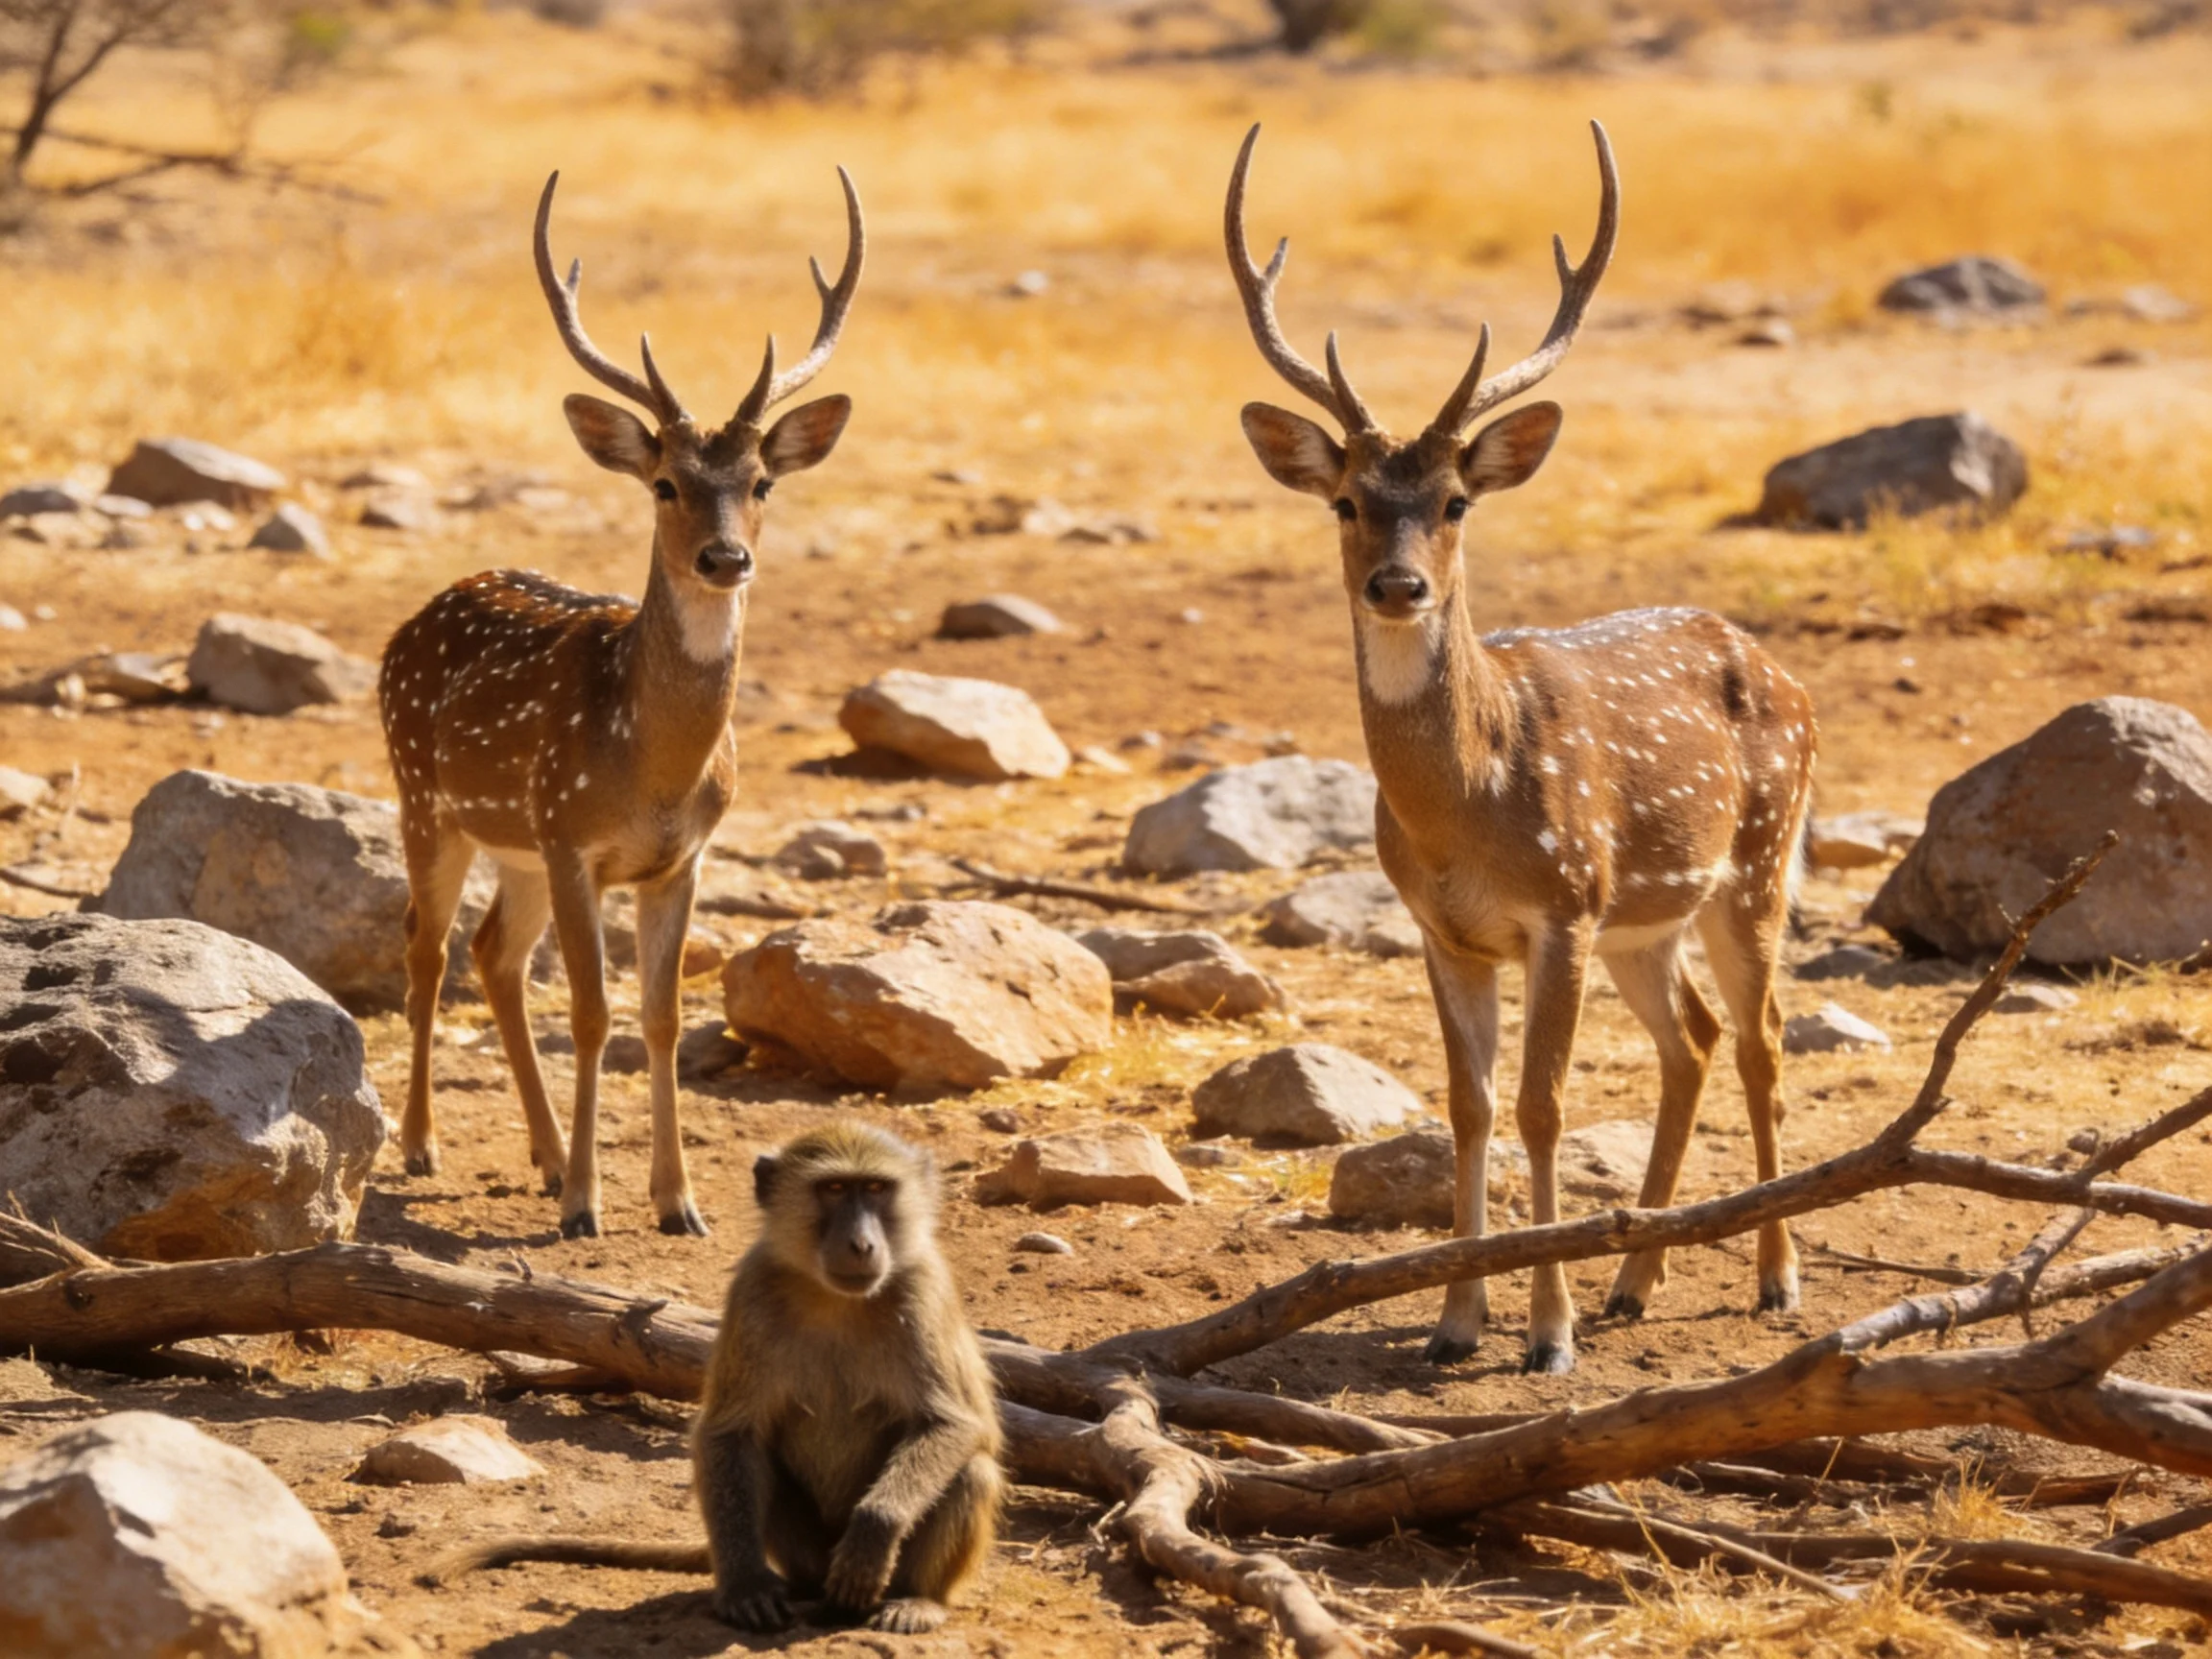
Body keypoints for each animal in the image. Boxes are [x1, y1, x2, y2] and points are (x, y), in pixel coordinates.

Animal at [377, 167, 863, 1240]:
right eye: (666, 484)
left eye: (762, 481)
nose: (726, 558)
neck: (654, 766)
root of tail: (415, 617)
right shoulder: (573, 839)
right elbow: (595, 1014)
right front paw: (587, 1210)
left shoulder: (678, 859)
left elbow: (662, 1016)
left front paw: (677, 1202)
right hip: (427, 801)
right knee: (429, 949)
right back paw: (425, 1144)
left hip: (512, 842)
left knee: (494, 956)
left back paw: (548, 1154)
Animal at [430, 1122, 1003, 1636]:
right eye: (835, 1189)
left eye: (878, 1189)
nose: (862, 1245)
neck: (833, 1299)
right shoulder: (751, 1292)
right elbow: (728, 1433)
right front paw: (745, 1588)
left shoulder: (921, 1291)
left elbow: (952, 1423)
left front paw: (873, 1532)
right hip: (807, 1553)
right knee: (758, 1463)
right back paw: (791, 1587)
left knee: (970, 1472)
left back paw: (917, 1600)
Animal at [1224, 122, 1817, 1373]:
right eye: (1345, 501)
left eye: (1455, 501)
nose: (1398, 586)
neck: (1469, 811)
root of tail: (1775, 663)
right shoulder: (1445, 929)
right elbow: (1471, 1105)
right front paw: (1456, 1323)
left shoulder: (1563, 904)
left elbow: (1544, 1106)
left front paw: (1545, 1336)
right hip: (1649, 917)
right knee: (1693, 1040)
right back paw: (1633, 1281)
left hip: (1754, 863)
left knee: (1762, 1037)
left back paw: (1775, 1279)